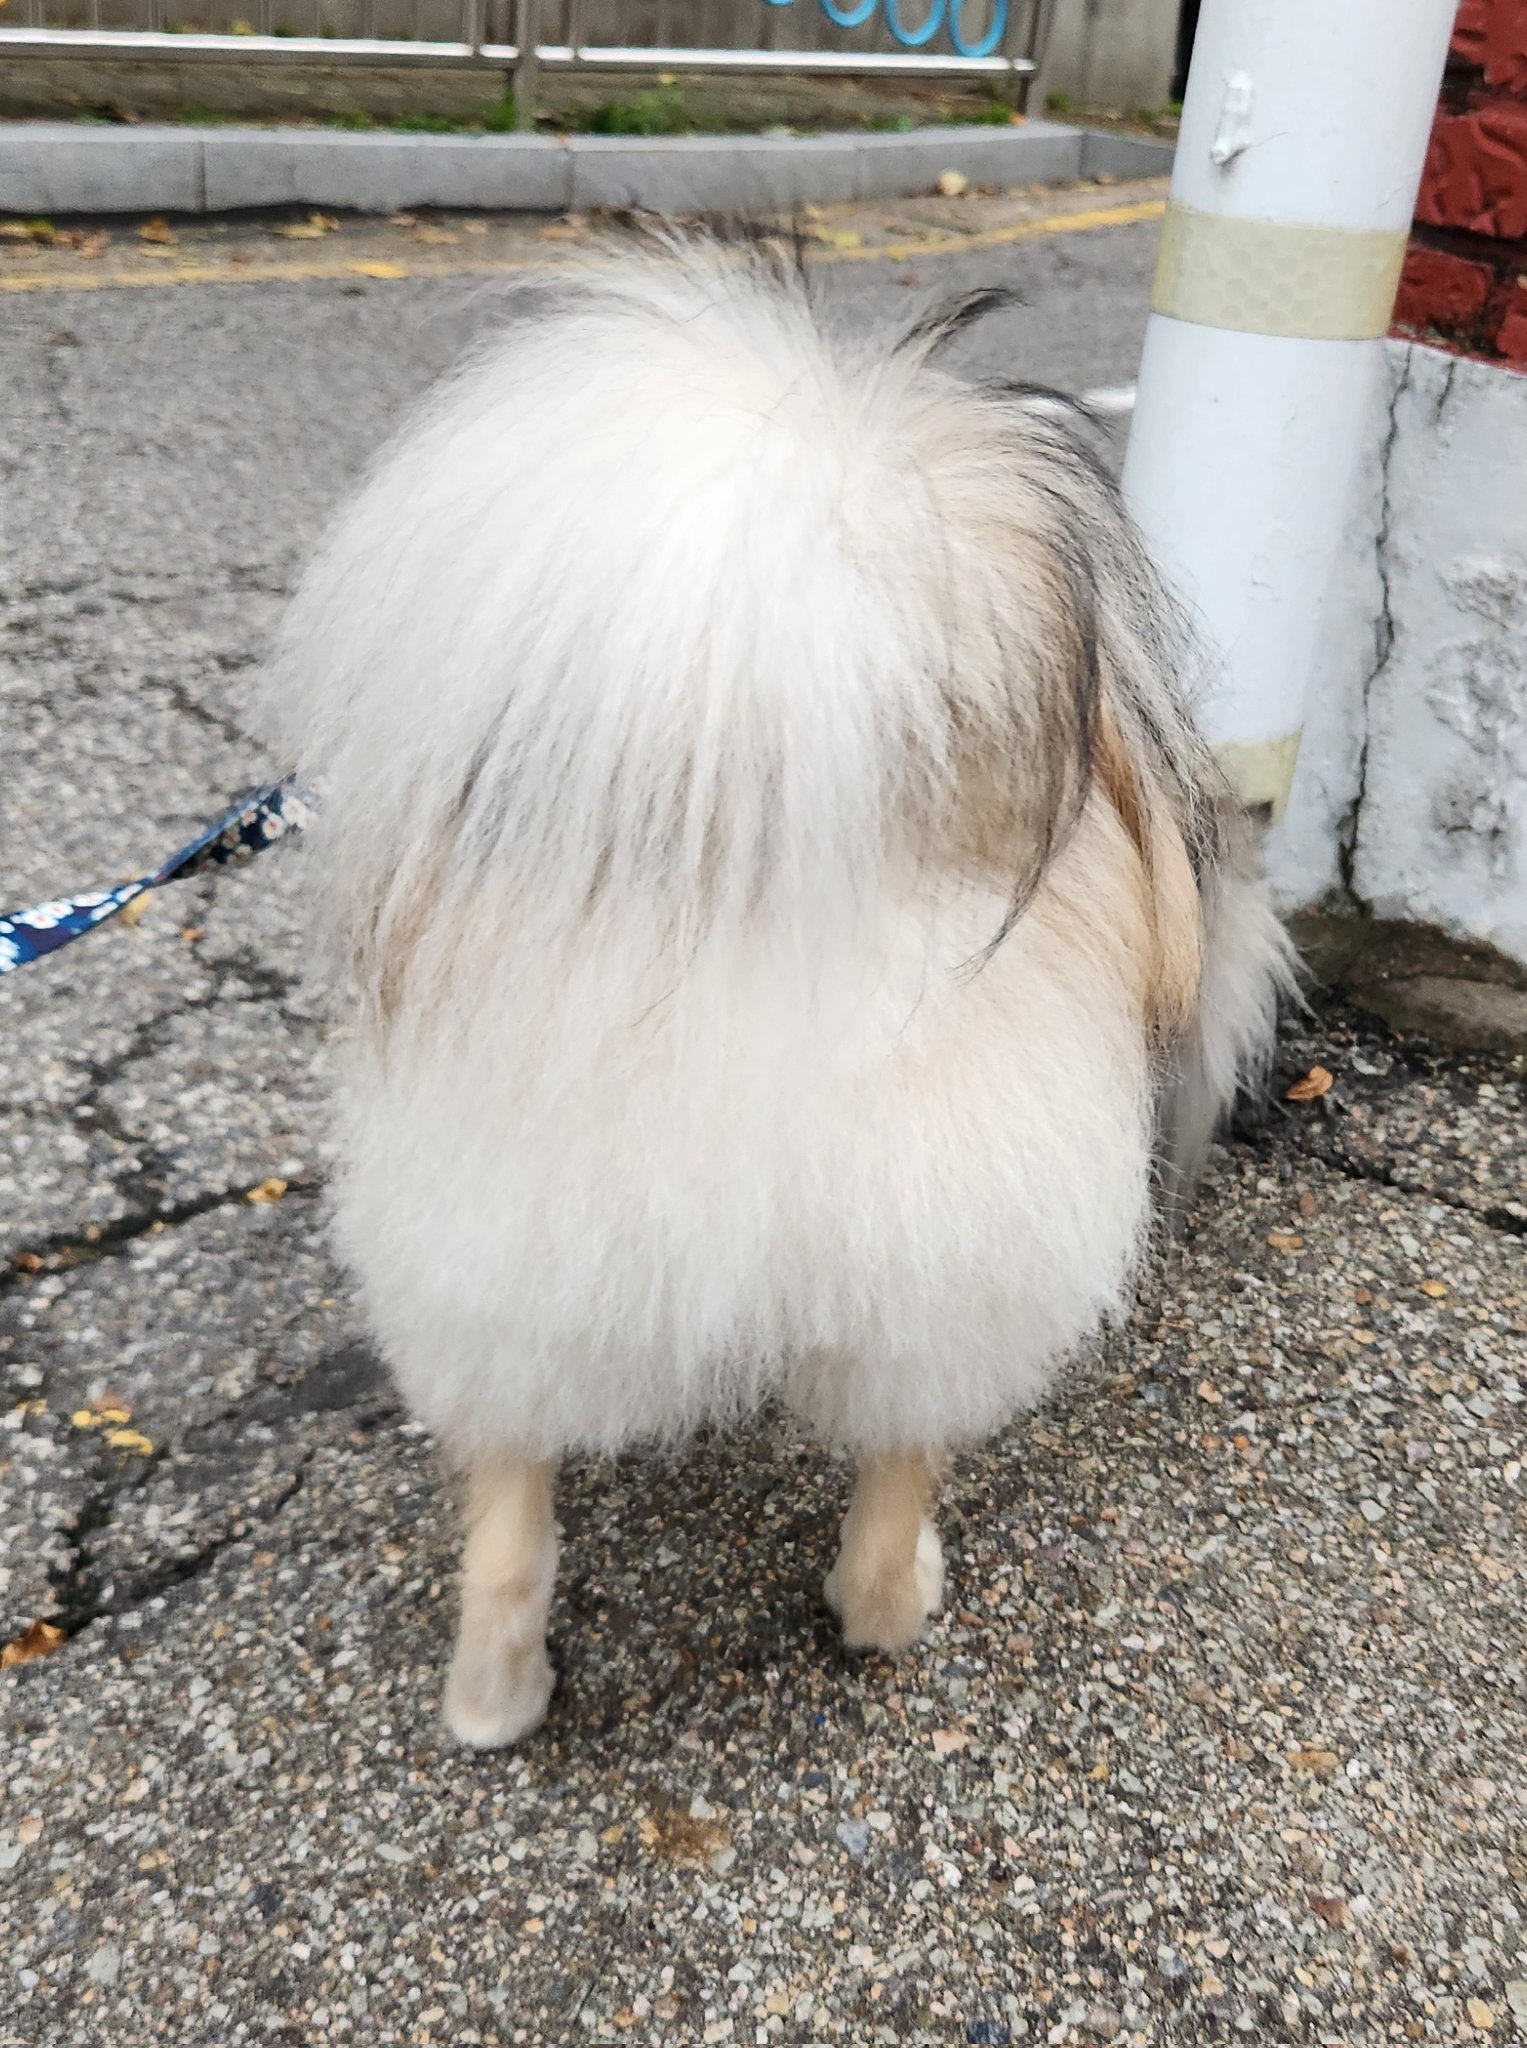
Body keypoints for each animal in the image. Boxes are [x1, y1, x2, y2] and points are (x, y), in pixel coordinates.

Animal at [261, 227, 1294, 1747]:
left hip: (507, 1267)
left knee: (507, 1518)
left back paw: (495, 1697)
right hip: (946, 1261)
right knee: (893, 1483)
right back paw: (896, 1605)